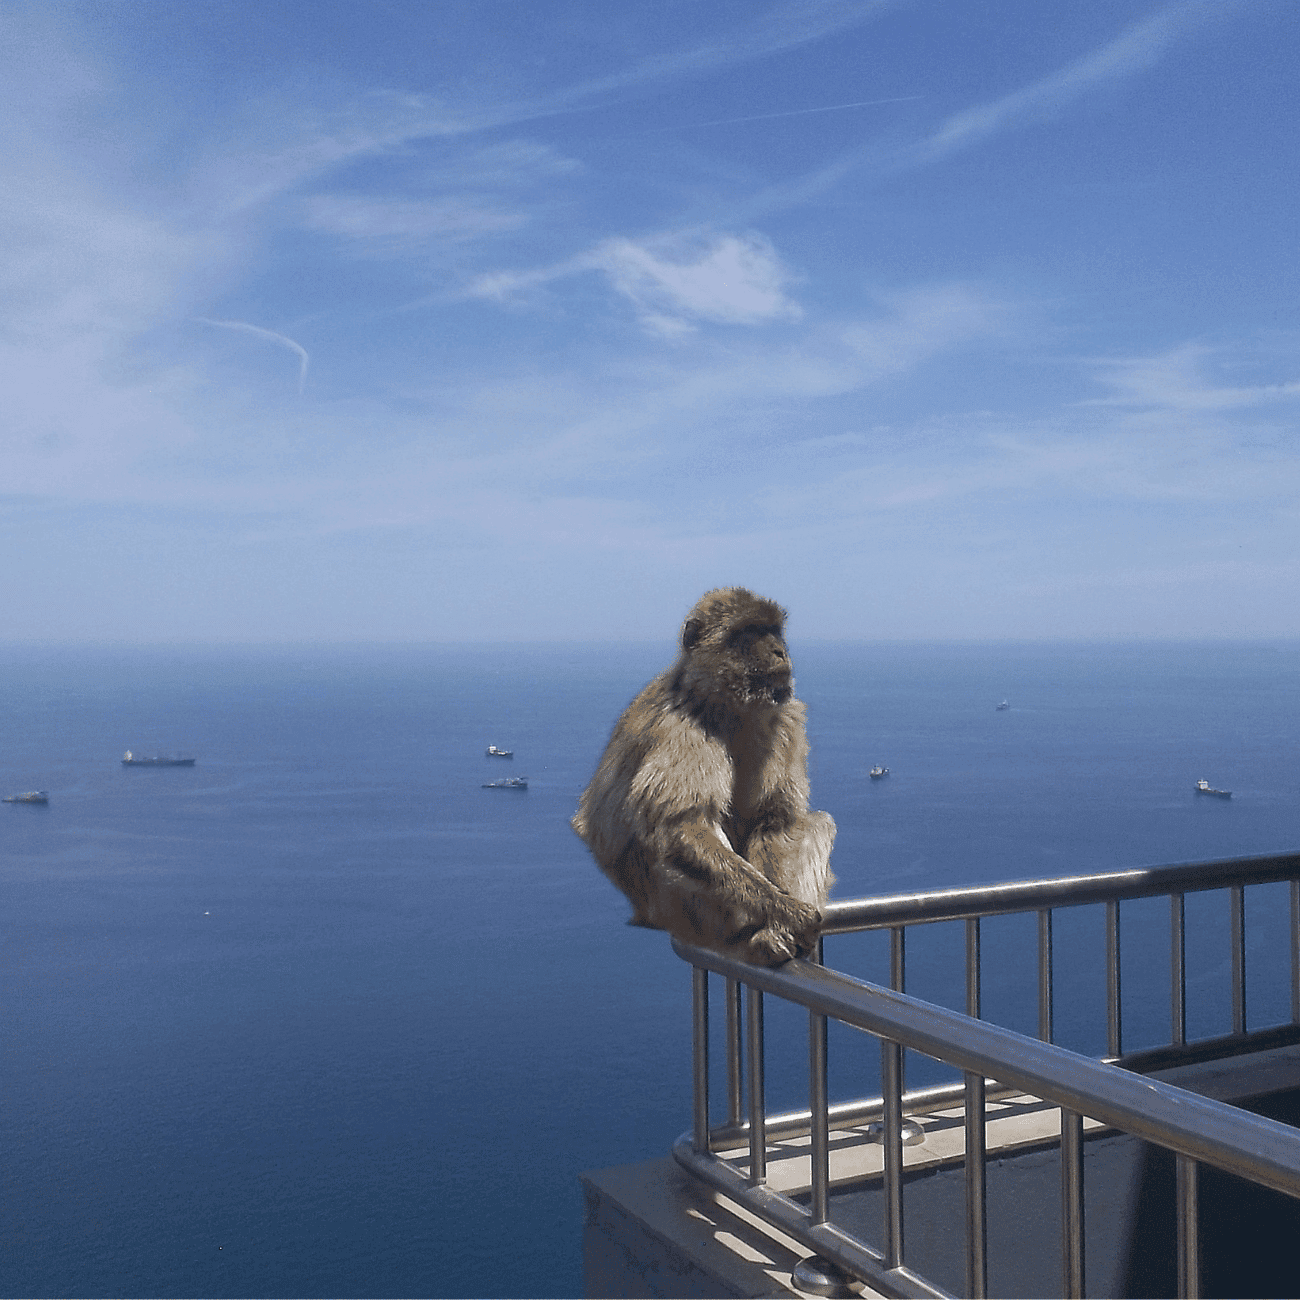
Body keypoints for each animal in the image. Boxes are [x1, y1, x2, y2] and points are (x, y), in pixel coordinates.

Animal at [574, 590, 837, 967]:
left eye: (773, 631)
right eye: (750, 633)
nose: (779, 651)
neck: (732, 705)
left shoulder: (787, 718)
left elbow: (774, 821)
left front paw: (779, 922)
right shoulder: (684, 726)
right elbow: (681, 827)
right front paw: (788, 914)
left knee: (815, 823)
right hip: (681, 909)